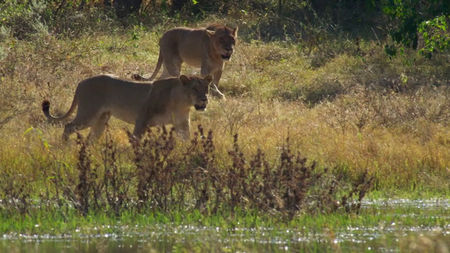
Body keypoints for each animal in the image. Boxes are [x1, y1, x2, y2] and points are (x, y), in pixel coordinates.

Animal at [42, 74, 213, 143]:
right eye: (194, 88)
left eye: (206, 88)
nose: (204, 99)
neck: (181, 102)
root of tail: (80, 83)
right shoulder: (142, 120)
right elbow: (136, 140)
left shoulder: (182, 124)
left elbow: (186, 139)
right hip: (88, 114)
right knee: (69, 126)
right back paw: (64, 145)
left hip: (101, 118)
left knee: (92, 137)